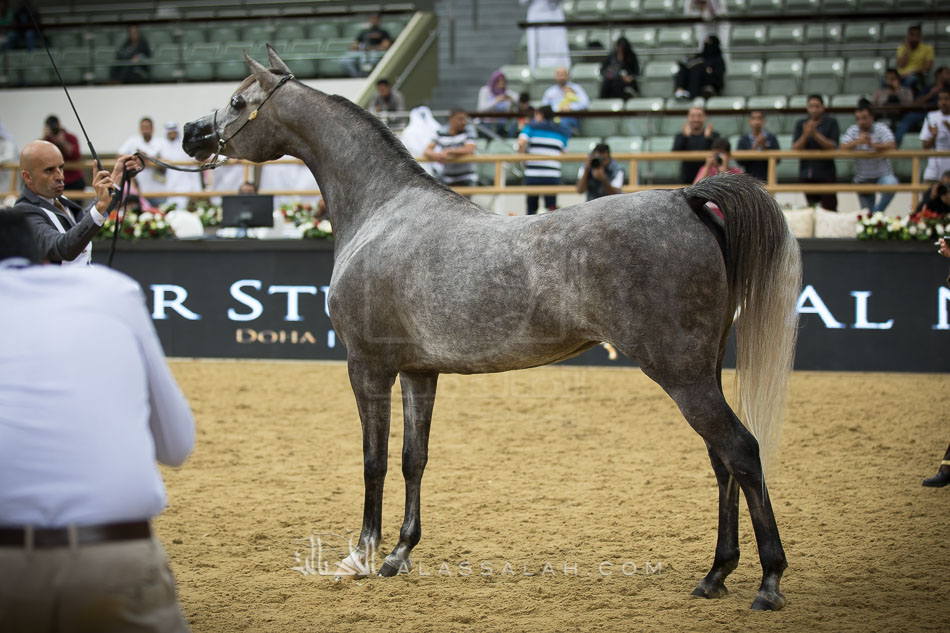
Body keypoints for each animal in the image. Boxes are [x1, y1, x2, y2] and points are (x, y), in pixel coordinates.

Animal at [183, 45, 802, 611]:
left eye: (237, 100)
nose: (191, 133)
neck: (382, 211)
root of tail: (686, 199)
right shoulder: (419, 371)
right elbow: (413, 458)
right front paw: (399, 555)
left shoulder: (368, 367)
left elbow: (373, 459)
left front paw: (359, 556)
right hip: (702, 371)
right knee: (722, 462)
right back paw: (715, 575)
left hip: (682, 375)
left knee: (742, 451)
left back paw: (769, 582)